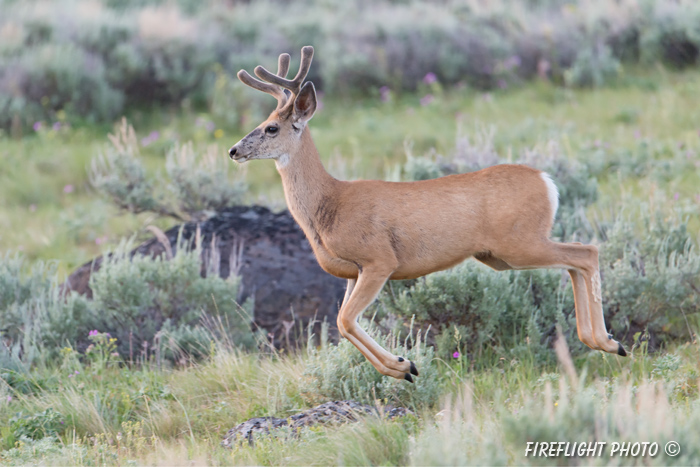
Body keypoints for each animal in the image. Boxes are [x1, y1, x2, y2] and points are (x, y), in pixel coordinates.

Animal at [227, 46, 628, 384]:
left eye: (271, 127)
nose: (233, 150)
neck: (329, 205)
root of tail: (547, 182)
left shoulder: (379, 259)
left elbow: (344, 320)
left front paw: (404, 365)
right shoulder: (351, 272)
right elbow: (344, 323)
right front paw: (404, 367)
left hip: (519, 242)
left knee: (586, 252)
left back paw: (610, 343)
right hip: (502, 255)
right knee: (575, 260)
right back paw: (600, 340)